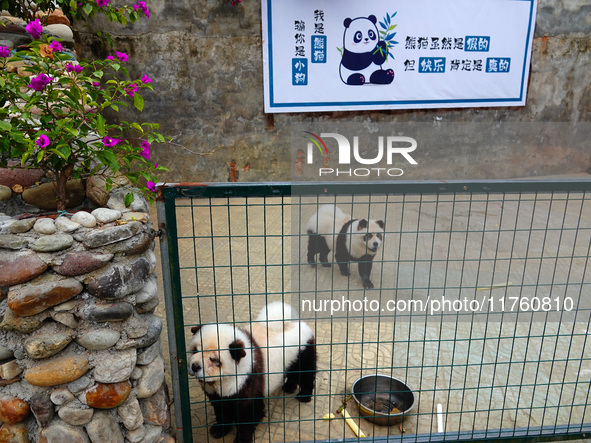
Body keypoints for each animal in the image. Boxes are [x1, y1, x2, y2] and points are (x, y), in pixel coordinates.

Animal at [190, 302, 320, 443]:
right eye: (195, 350)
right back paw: (289, 387)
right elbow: (222, 409)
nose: (194, 366)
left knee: (305, 373)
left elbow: (248, 415)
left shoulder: (248, 379)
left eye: (214, 360)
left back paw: (304, 395)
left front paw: (242, 439)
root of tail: (296, 322)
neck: (220, 381)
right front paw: (219, 430)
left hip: (303, 351)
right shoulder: (220, 394)